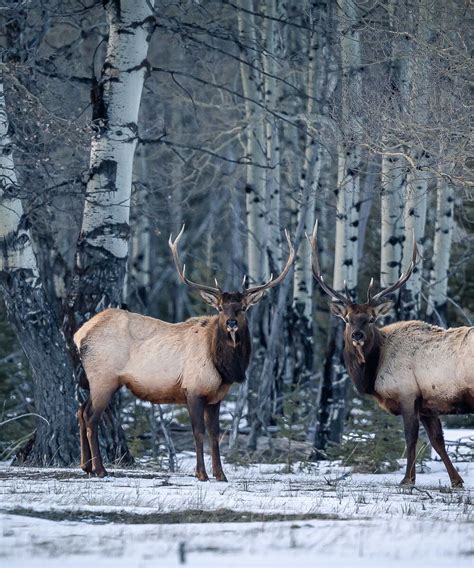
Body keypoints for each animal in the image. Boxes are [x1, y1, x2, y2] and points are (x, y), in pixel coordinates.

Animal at [74, 226, 294, 480]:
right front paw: (201, 473)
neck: (224, 368)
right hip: (104, 377)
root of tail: (79, 334)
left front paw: (221, 474)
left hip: (99, 380)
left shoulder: (216, 397)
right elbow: (198, 433)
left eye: (243, 308)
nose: (231, 323)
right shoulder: (193, 389)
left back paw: (85, 465)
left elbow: (215, 435)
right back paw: (100, 469)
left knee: (81, 410)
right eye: (221, 308)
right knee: (91, 416)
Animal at [310, 220, 472, 486]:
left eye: (371, 319)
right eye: (347, 319)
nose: (357, 336)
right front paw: (456, 481)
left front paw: (407, 480)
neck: (373, 374)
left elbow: (411, 439)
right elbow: (438, 442)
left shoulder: (407, 393)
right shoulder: (427, 404)